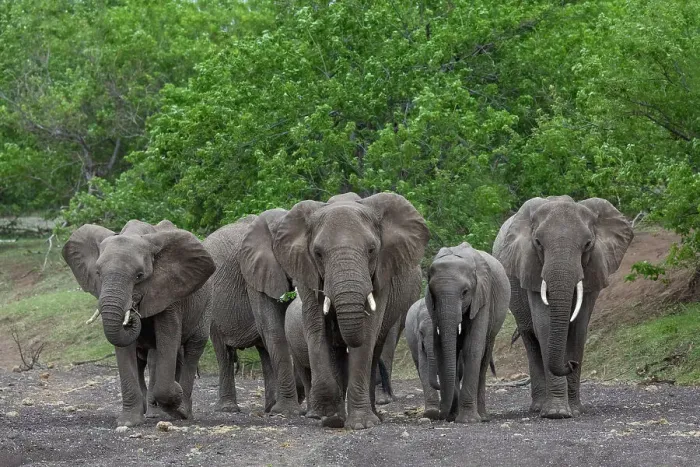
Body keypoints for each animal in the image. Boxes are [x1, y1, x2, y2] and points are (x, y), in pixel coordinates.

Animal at [62, 220, 215, 426]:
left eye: (139, 275)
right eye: (98, 273)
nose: (134, 309)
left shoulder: (170, 292)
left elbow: (168, 337)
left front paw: (175, 401)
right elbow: (125, 349)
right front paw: (129, 422)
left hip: (206, 305)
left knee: (193, 349)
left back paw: (183, 412)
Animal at [205, 209, 300, 415]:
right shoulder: (254, 274)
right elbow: (275, 330)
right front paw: (288, 411)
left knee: (264, 350)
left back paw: (270, 407)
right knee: (223, 351)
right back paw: (229, 409)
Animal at [272, 192, 430, 429]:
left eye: (372, 250)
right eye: (318, 253)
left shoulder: (382, 272)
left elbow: (368, 333)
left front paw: (361, 424)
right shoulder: (306, 272)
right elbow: (316, 329)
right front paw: (329, 416)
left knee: (376, 349)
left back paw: (375, 415)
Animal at [418, 242, 509, 422]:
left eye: (465, 292)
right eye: (432, 294)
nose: (441, 416)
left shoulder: (483, 295)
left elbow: (472, 347)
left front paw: (468, 420)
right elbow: (442, 350)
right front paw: (453, 416)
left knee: (484, 355)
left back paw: (483, 416)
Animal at [492, 196, 633, 418]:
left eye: (588, 244)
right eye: (538, 243)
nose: (571, 364)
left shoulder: (594, 268)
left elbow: (578, 329)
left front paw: (574, 410)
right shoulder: (530, 267)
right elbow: (545, 326)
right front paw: (557, 413)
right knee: (530, 337)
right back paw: (538, 407)